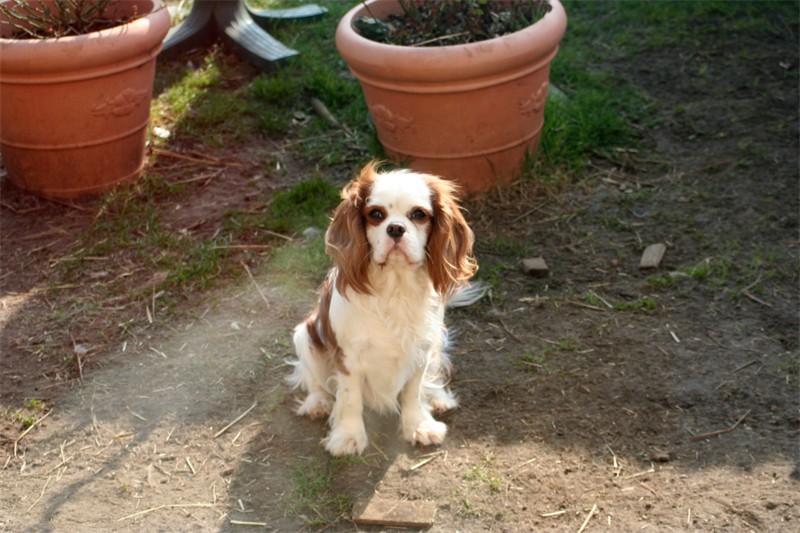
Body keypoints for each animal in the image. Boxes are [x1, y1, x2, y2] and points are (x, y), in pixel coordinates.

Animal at [288, 161, 482, 454]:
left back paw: (437, 397)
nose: (396, 228)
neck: (395, 287)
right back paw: (317, 403)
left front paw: (419, 426)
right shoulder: (347, 357)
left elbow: (414, 392)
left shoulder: (421, 349)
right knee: (314, 380)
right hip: (305, 336)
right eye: (376, 214)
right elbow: (350, 399)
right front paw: (348, 436)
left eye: (419, 214)